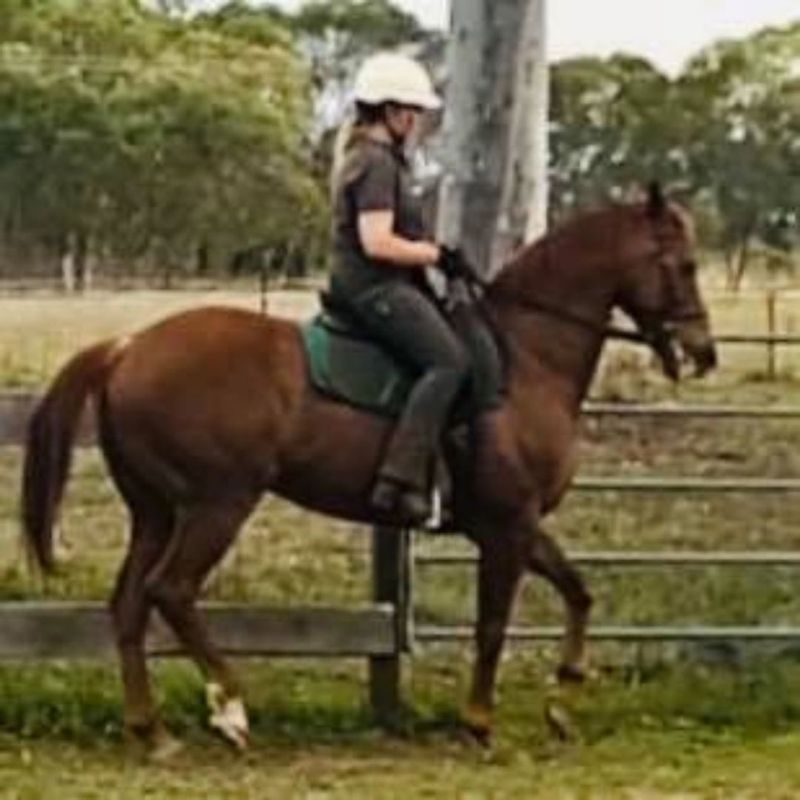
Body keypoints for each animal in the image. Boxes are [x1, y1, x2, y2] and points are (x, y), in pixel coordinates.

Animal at [21, 184, 716, 756]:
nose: (702, 352)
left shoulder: (515, 527)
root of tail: (126, 349)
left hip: (156, 513)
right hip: (218, 504)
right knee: (171, 591)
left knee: (129, 605)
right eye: (683, 265)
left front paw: (562, 703)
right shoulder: (506, 528)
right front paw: (479, 723)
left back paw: (153, 731)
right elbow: (493, 625)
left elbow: (579, 592)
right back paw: (231, 710)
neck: (525, 360)